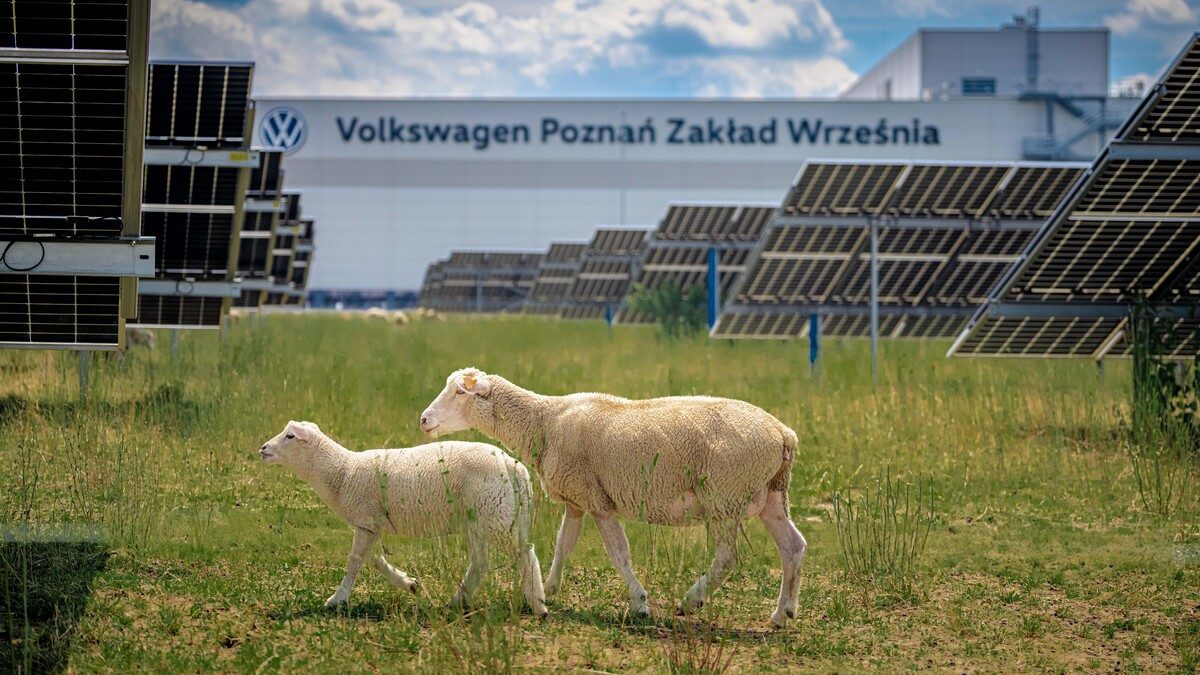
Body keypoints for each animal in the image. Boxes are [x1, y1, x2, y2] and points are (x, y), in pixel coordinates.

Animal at [258, 420, 547, 615]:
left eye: (290, 436)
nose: (263, 449)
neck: (341, 473)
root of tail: (516, 469)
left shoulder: (365, 521)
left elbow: (355, 561)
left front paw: (337, 599)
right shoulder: (372, 524)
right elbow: (374, 559)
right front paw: (408, 583)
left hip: (495, 514)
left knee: (525, 555)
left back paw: (539, 605)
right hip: (482, 517)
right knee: (481, 561)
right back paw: (458, 601)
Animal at [419, 368, 806, 627]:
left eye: (460, 393)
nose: (423, 419)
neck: (544, 420)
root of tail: (783, 433)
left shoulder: (598, 502)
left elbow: (619, 554)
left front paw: (640, 603)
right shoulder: (576, 500)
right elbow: (563, 545)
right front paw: (550, 588)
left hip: (723, 493)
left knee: (727, 557)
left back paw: (690, 601)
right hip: (772, 494)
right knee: (793, 546)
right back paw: (782, 613)